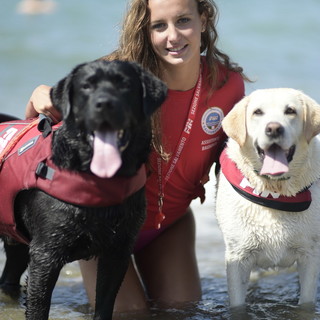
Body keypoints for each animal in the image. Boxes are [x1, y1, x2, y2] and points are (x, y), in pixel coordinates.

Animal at [0, 59, 169, 318]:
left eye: (125, 84)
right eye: (86, 87)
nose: (104, 103)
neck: (99, 178)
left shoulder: (118, 251)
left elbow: (105, 305)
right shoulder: (45, 254)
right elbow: (39, 306)